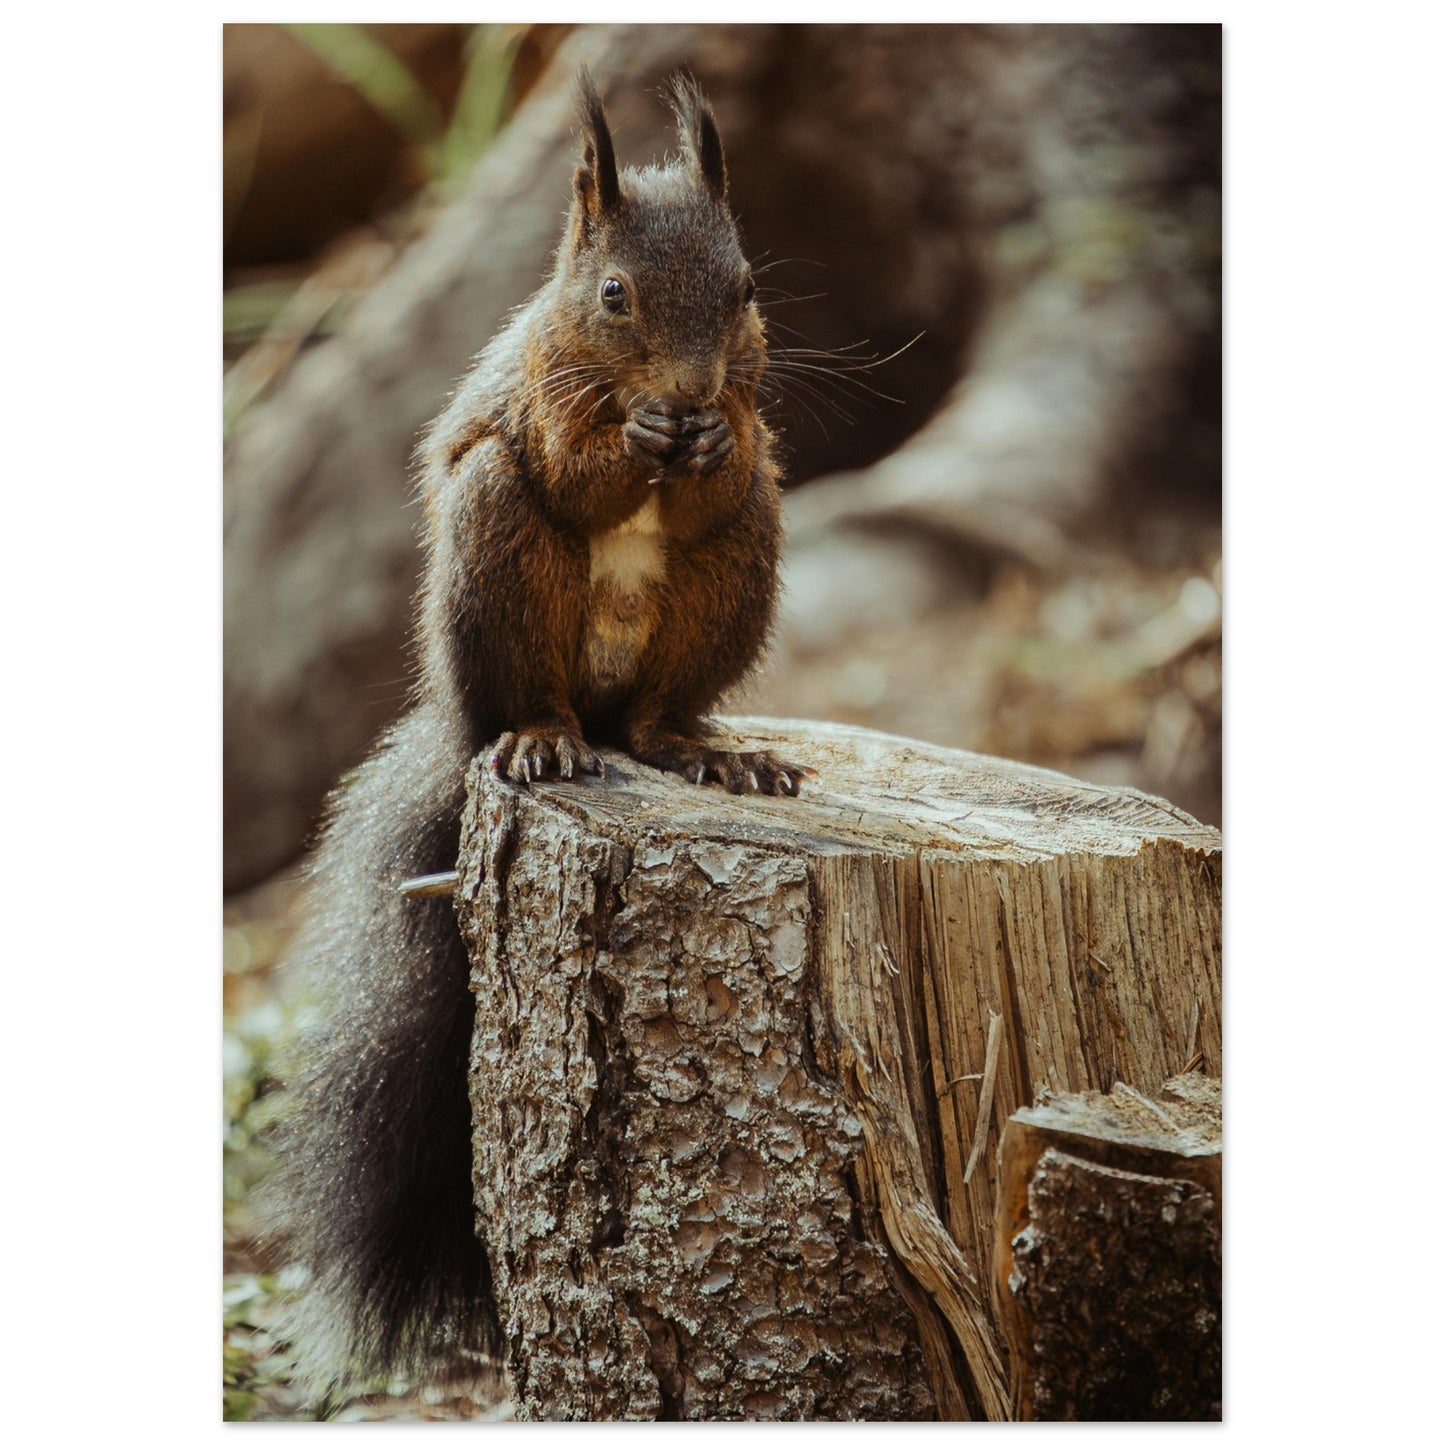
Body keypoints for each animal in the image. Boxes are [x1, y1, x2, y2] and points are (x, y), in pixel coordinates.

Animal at [264, 73, 809, 1404]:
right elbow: (573, 466)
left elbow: (722, 465)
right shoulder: (537, 395)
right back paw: (540, 743)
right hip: (495, 560)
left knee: (666, 694)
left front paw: (701, 444)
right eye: (611, 295)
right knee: (535, 664)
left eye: (747, 289)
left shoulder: (746, 406)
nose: (689, 388)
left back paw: (701, 747)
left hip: (744, 559)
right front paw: (635, 446)